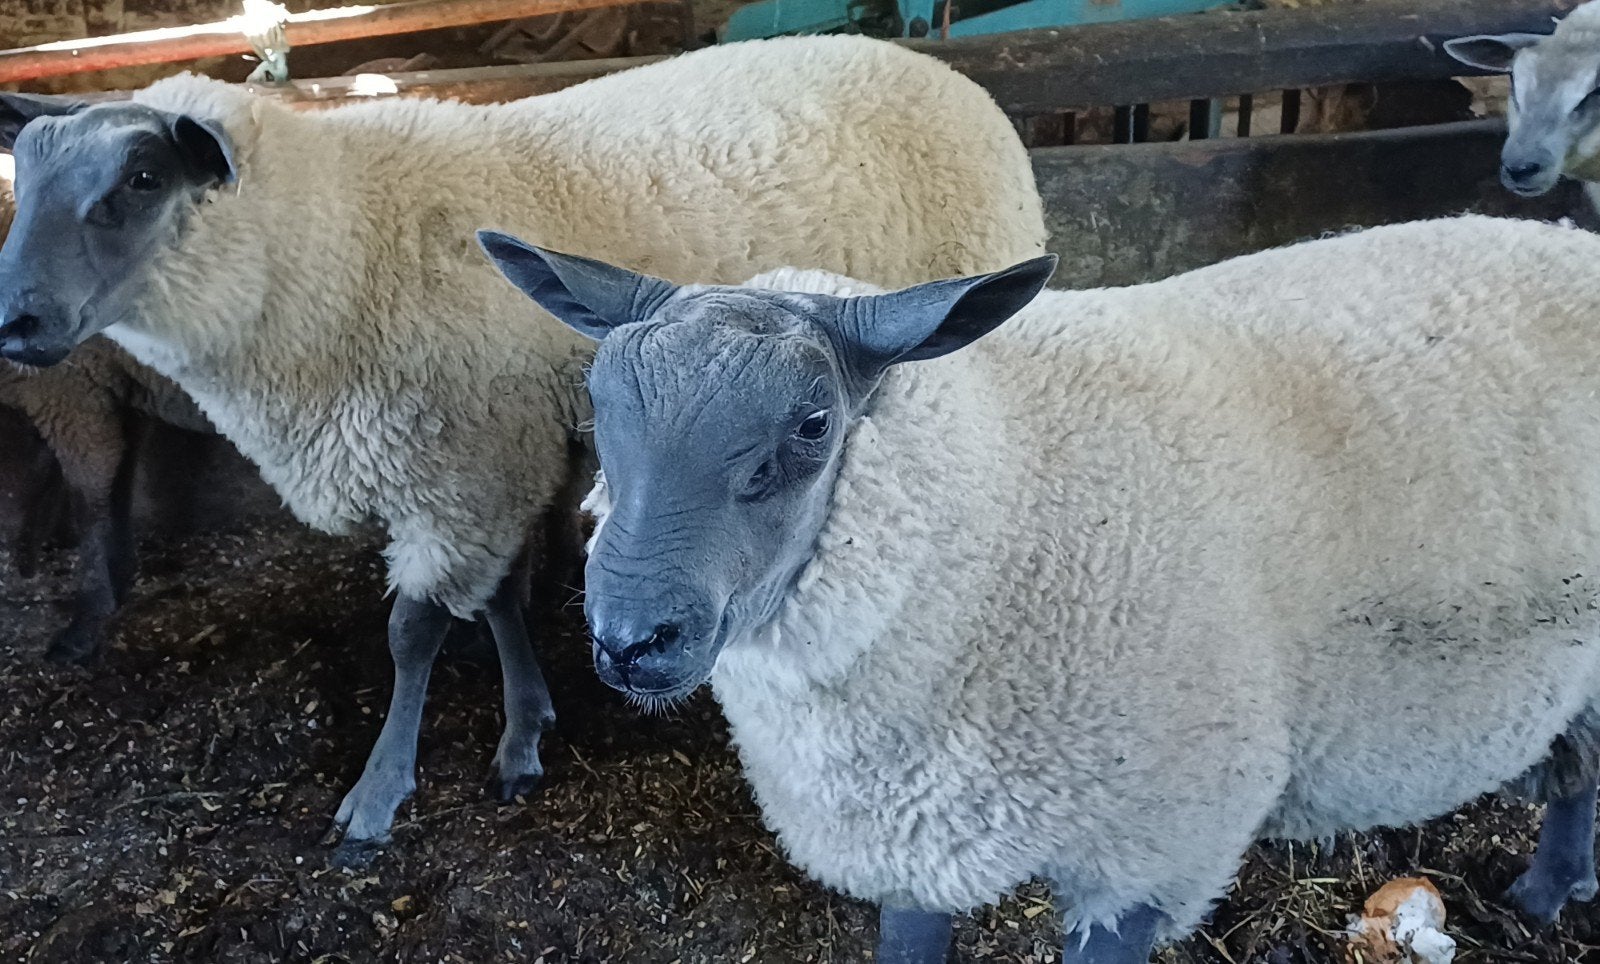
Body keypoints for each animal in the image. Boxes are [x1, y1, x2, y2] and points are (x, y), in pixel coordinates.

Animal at [0, 35, 1048, 862]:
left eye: (141, 180)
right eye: (26, 178)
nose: (14, 323)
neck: (338, 245)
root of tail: (940, 72)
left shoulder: (461, 466)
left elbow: (410, 633)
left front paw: (379, 794)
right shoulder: (492, 456)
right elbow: (497, 600)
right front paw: (524, 729)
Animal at [482, 214, 1600, 963]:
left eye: (813, 425)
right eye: (597, 405)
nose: (628, 638)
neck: (1005, 513)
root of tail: (1561, 233)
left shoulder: (1155, 848)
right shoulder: (915, 830)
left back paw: (1547, 894)